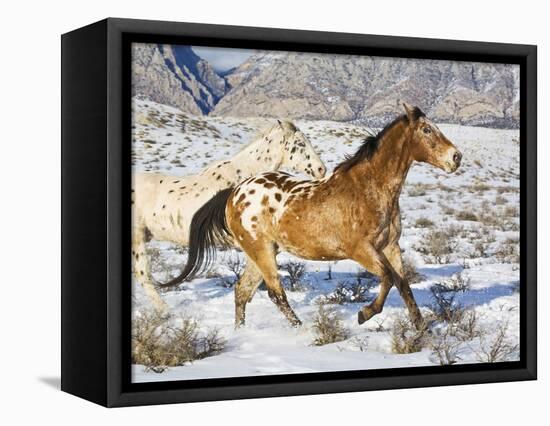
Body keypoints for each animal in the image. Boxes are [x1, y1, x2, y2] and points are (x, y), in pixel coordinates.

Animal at [166, 105, 464, 330]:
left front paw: (421, 328)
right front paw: (364, 314)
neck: (369, 188)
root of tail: (234, 192)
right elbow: (389, 279)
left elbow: (403, 285)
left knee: (242, 291)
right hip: (261, 251)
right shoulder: (361, 250)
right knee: (275, 292)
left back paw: (241, 333)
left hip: (261, 253)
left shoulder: (390, 247)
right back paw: (300, 330)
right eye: (426, 130)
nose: (456, 157)